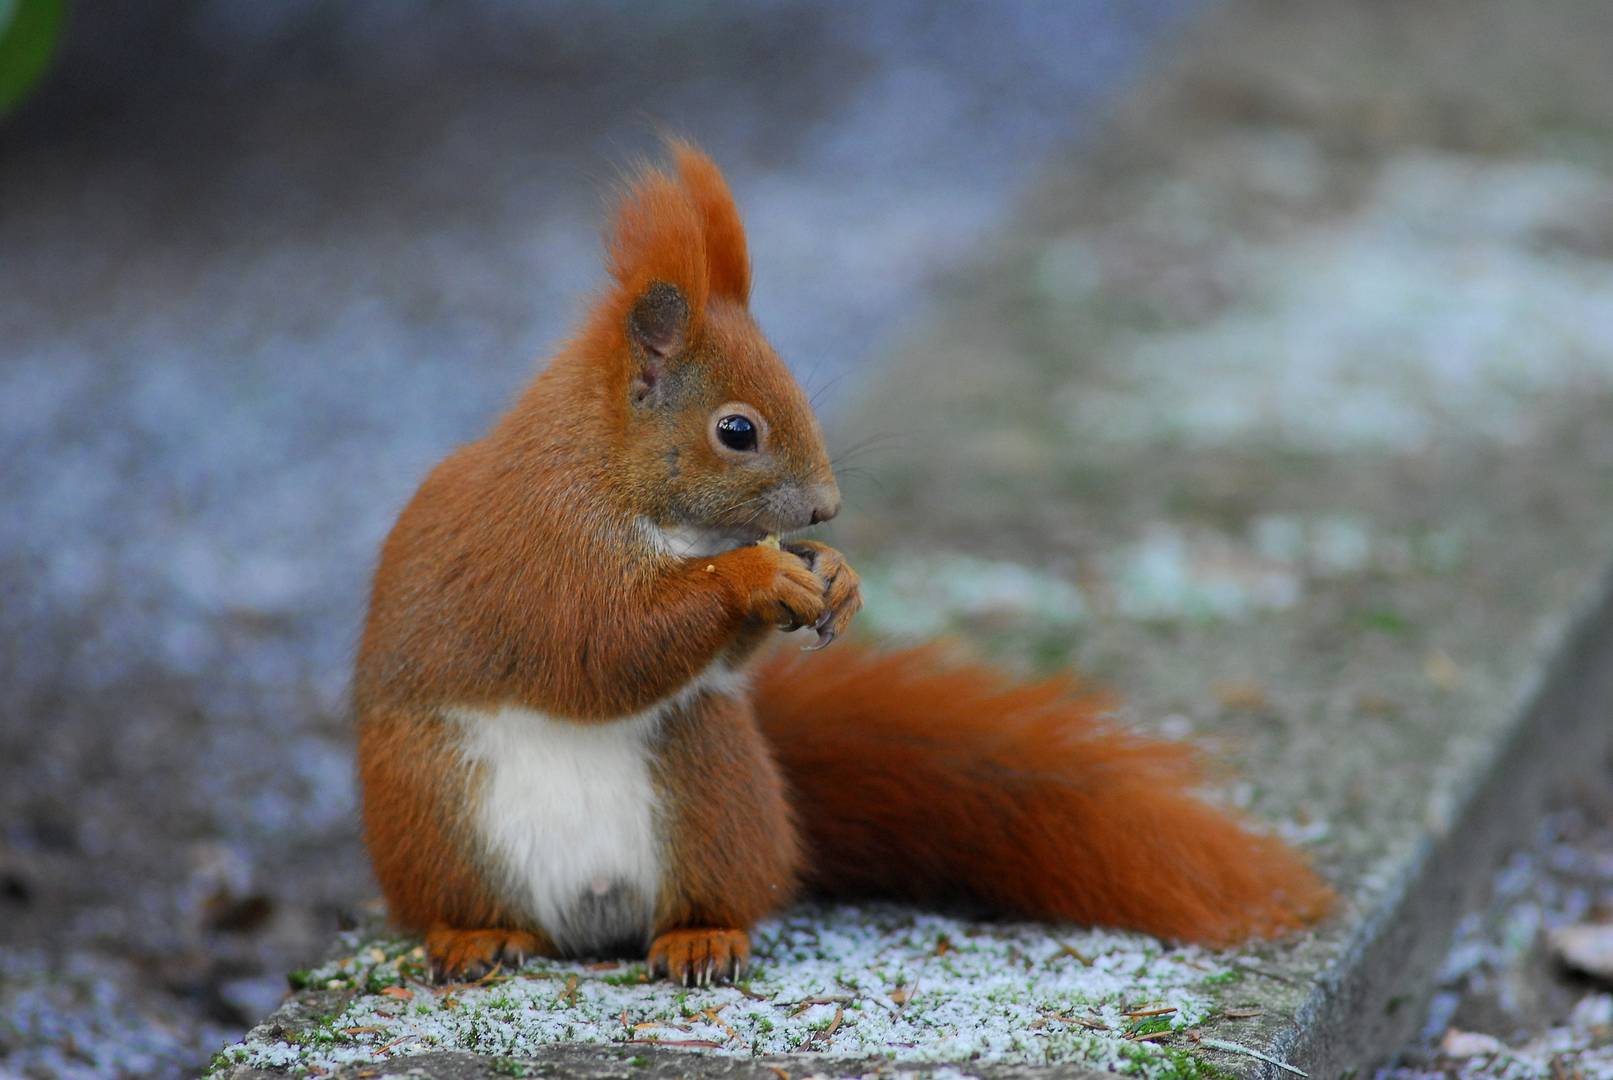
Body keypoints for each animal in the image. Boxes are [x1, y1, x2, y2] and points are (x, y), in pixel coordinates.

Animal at [356, 141, 1335, 992]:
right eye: (736, 430)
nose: (825, 509)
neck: (624, 485)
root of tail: (588, 923)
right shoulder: (536, 550)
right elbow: (599, 646)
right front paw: (757, 579)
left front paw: (838, 574)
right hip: (433, 808)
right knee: (473, 899)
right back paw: (478, 935)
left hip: (711, 783)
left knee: (714, 893)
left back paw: (701, 935)